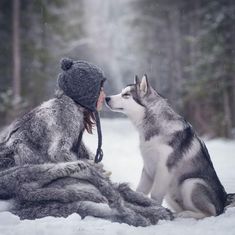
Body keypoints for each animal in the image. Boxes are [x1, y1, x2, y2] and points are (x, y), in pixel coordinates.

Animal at [105, 75, 234, 218]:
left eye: (126, 95)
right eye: (121, 92)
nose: (106, 98)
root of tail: (224, 200)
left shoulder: (164, 169)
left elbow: (155, 195)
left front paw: (156, 211)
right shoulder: (148, 168)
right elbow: (140, 191)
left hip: (190, 183)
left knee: (209, 213)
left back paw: (185, 214)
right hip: (171, 192)